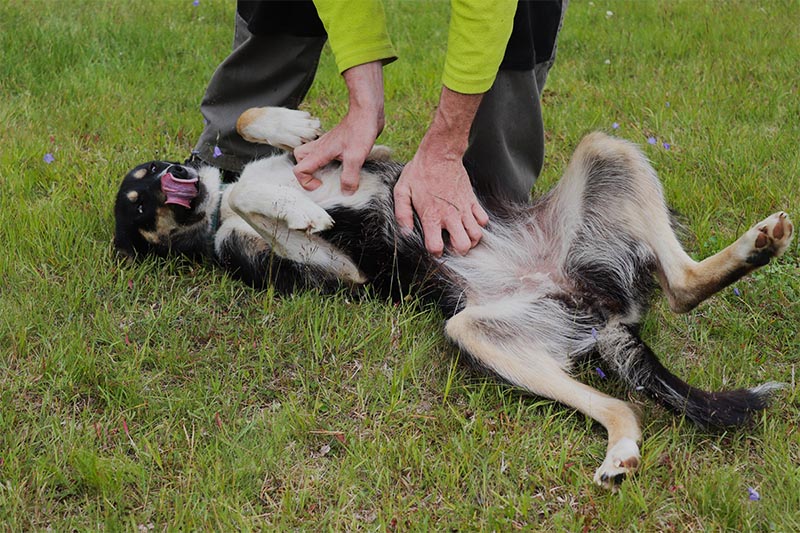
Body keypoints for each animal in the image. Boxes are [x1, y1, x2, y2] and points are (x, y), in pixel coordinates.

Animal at [114, 106, 792, 488]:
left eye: (147, 175)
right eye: (138, 204)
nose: (179, 173)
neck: (216, 210)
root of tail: (602, 309)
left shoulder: (370, 156)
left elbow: (254, 126)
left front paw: (294, 128)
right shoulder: (338, 271)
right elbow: (263, 204)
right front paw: (294, 208)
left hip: (607, 150)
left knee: (681, 285)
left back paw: (758, 246)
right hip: (479, 332)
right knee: (631, 396)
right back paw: (621, 453)